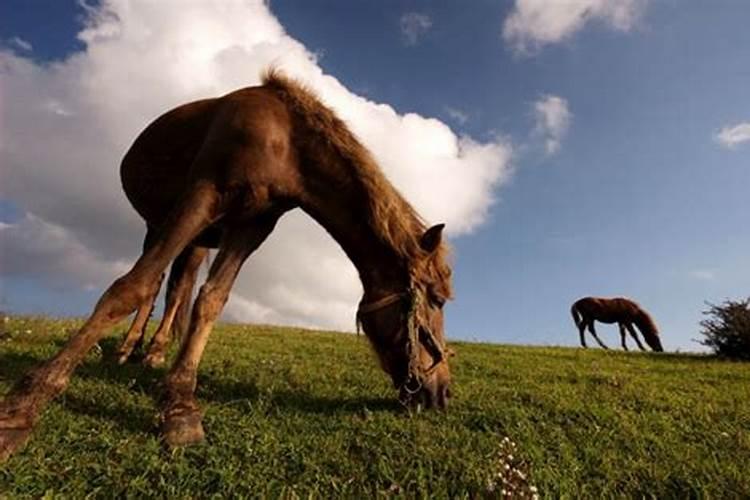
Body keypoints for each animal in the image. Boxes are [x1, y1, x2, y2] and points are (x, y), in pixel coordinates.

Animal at [0, 71, 456, 460]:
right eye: (436, 299)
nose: (442, 393)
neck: (285, 143)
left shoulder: (251, 226)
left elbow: (210, 301)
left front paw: (179, 405)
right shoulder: (204, 195)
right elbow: (130, 288)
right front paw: (24, 407)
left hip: (198, 241)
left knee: (176, 289)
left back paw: (153, 352)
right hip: (159, 223)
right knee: (153, 284)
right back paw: (129, 348)